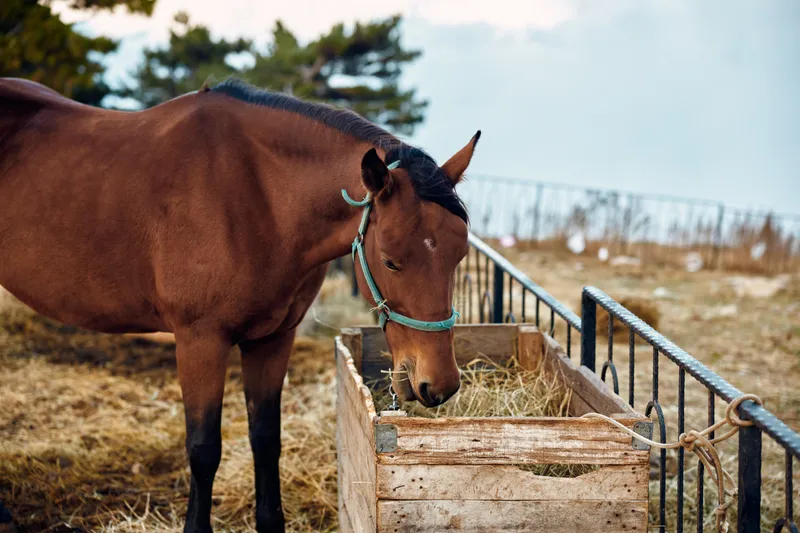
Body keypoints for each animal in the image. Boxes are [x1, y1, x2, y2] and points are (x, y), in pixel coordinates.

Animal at [0, 77, 479, 533]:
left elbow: (266, 439)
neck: (256, 195)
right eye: (390, 260)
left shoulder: (272, 340)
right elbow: (203, 448)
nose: (438, 384)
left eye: (459, 255)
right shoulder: (200, 341)